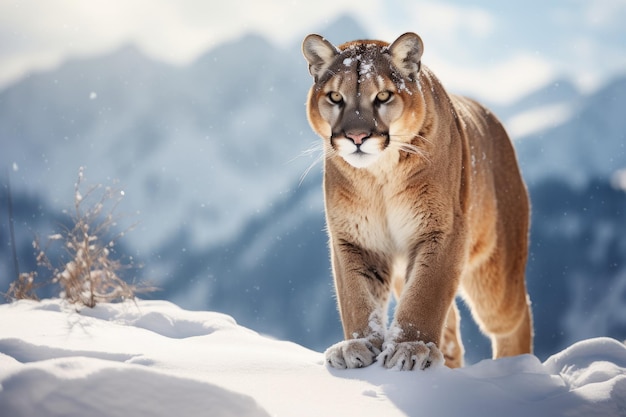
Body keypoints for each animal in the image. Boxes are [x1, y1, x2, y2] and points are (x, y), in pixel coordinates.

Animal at [302, 33, 532, 370]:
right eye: (334, 97)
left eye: (383, 95)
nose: (357, 137)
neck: (380, 176)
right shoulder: (355, 238)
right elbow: (357, 296)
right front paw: (357, 346)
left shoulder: (442, 230)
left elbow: (426, 294)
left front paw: (411, 348)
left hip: (495, 269)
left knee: (514, 317)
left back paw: (513, 368)